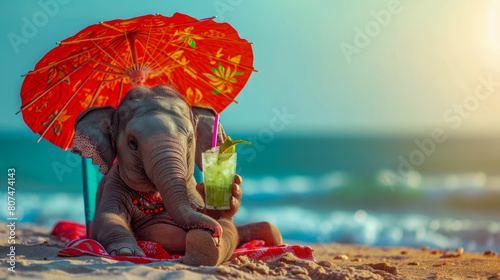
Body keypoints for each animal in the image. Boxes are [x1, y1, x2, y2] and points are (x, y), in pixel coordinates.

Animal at [71, 86, 284, 266]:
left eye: (190, 140)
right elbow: (107, 220)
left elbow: (225, 228)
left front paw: (217, 218)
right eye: (132, 143)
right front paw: (127, 252)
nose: (213, 230)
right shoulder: (113, 185)